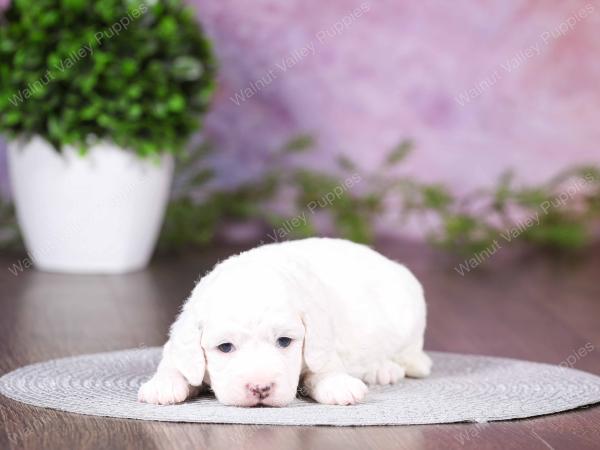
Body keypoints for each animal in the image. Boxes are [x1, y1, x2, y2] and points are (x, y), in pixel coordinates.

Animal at [139, 239, 432, 408]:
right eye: (225, 347)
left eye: (284, 342)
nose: (260, 388)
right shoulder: (180, 339)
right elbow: (174, 363)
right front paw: (163, 384)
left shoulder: (320, 339)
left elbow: (324, 365)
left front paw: (338, 384)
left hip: (410, 310)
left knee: (411, 354)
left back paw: (384, 369)